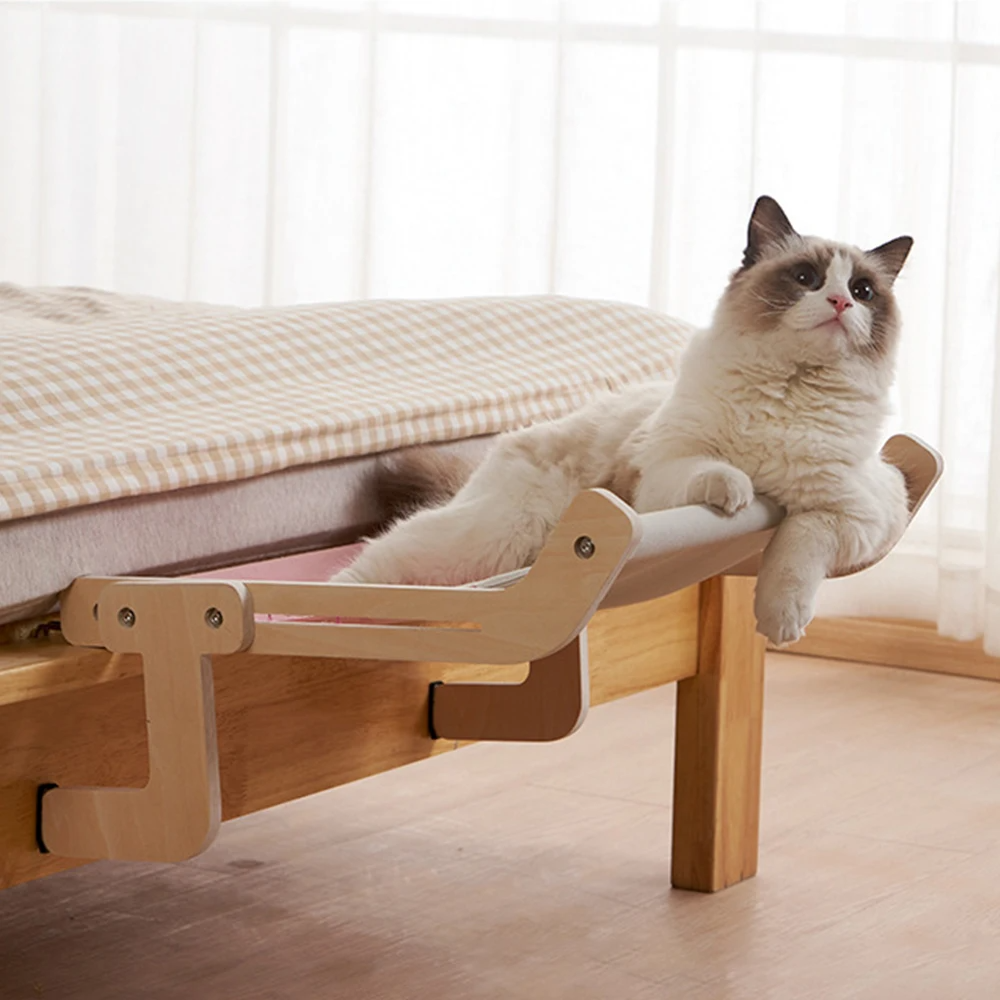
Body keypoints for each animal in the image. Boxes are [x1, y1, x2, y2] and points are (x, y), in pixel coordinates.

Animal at [334, 198, 916, 644]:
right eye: (805, 278)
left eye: (863, 291)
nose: (839, 303)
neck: (789, 393)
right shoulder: (666, 475)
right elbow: (718, 473)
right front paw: (739, 493)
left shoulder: (855, 515)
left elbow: (798, 547)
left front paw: (780, 622)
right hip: (484, 538)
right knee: (371, 566)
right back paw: (322, 614)